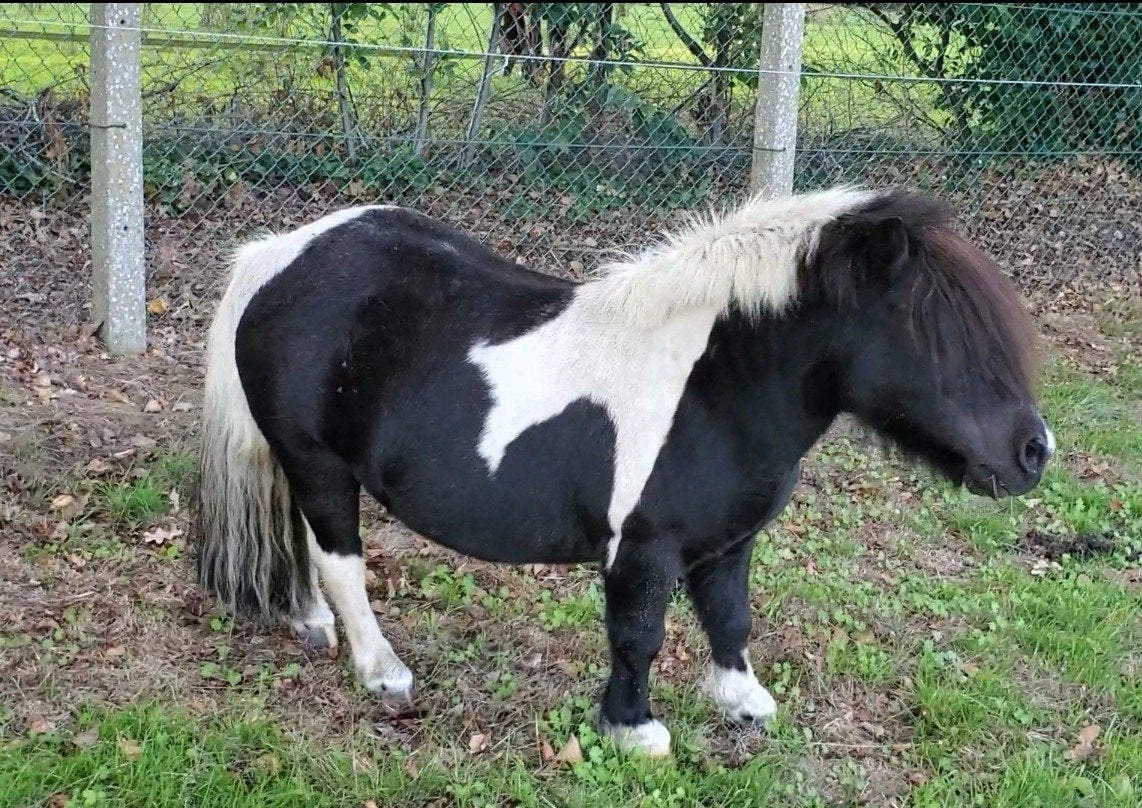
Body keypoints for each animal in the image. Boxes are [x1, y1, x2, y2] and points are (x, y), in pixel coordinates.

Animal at [193, 185, 1054, 758]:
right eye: (931, 333)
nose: (1033, 452)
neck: (713, 385)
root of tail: (279, 257)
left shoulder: (728, 541)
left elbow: (730, 616)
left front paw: (740, 699)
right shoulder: (642, 549)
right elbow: (639, 636)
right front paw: (632, 728)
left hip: (301, 466)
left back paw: (307, 621)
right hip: (319, 464)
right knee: (342, 562)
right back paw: (381, 670)